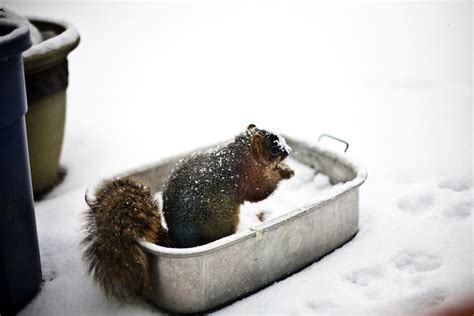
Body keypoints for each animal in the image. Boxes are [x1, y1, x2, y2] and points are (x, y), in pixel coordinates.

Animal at [83, 123, 294, 298]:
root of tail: (179, 243)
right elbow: (260, 191)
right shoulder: (248, 177)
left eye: (282, 138)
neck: (238, 153)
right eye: (274, 148)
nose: (289, 150)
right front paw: (284, 172)